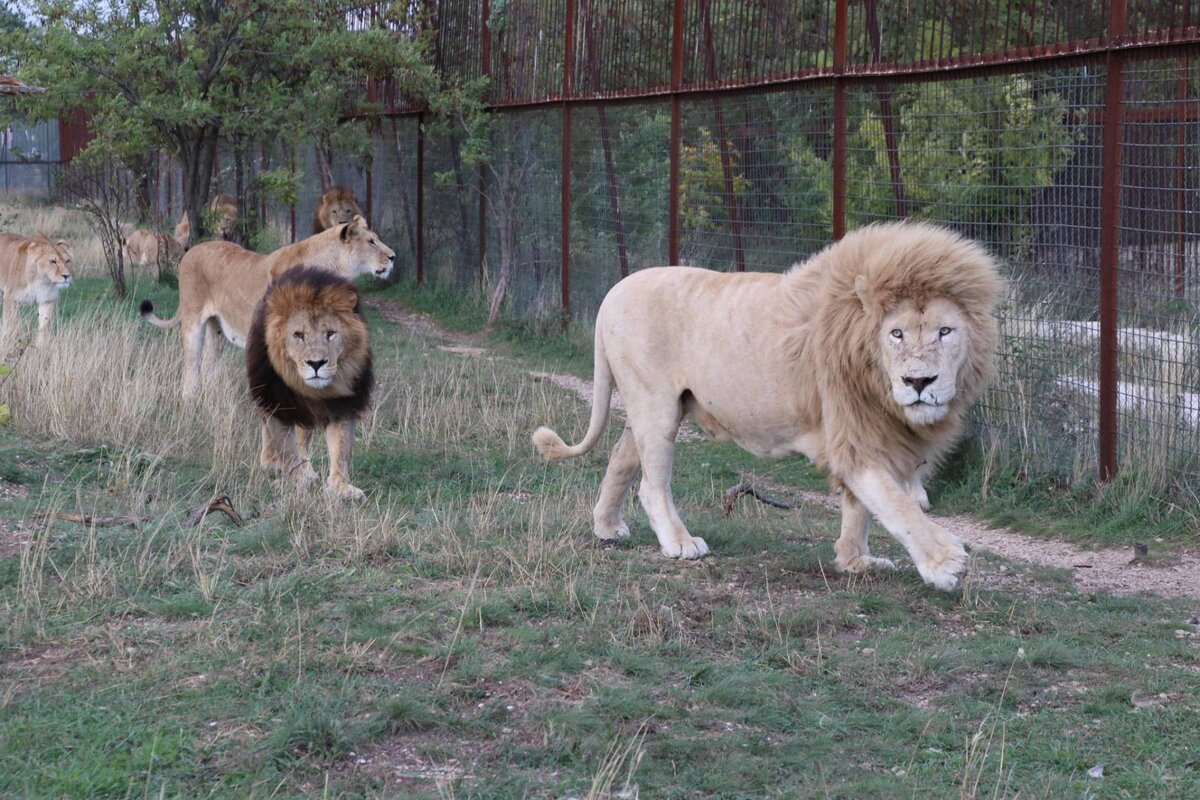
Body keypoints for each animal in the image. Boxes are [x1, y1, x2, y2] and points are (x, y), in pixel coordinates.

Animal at [138, 215, 393, 393]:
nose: (393, 257)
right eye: (371, 242)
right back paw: (190, 400)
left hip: (216, 327)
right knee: (191, 365)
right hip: (193, 321)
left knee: (210, 364)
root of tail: (190, 252)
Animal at [247, 266, 369, 496]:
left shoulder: (342, 406)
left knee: (302, 436)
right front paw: (299, 481)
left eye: (330, 333)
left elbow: (340, 448)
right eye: (298, 335)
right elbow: (286, 449)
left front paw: (341, 487)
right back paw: (271, 463)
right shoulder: (276, 404)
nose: (316, 363)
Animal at [535, 221, 1003, 592]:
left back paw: (607, 527)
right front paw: (945, 563)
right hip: (655, 406)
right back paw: (680, 543)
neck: (868, 359)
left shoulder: (864, 429)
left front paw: (855, 561)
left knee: (621, 460)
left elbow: (861, 507)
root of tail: (613, 292)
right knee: (652, 484)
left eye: (945, 331)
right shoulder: (852, 433)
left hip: (651, 407)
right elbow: (895, 504)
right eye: (897, 334)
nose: (919, 382)